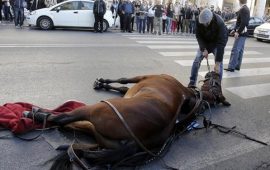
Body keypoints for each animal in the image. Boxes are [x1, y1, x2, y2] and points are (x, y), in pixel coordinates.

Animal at [25, 72, 230, 170]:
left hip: (96, 110)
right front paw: (103, 84)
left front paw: (102, 81)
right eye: (216, 83)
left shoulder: (144, 76)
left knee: (62, 118)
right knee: (69, 123)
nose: (215, 72)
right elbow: (123, 88)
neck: (187, 94)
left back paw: (36, 114)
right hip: (96, 130)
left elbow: (124, 79)